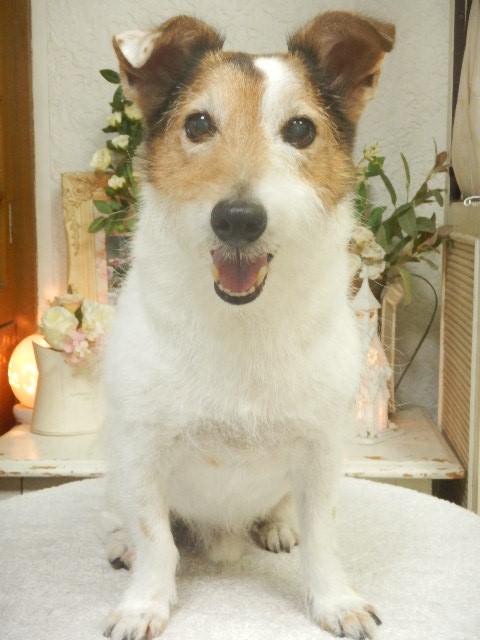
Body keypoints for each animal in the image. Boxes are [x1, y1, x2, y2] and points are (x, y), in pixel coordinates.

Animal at [102, 11, 394, 640]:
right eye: (198, 123)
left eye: (301, 130)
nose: (237, 219)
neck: (243, 322)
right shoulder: (141, 448)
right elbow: (155, 536)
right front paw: (144, 602)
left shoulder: (322, 449)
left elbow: (324, 534)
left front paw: (334, 599)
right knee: (128, 513)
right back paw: (121, 542)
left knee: (286, 507)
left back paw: (279, 524)